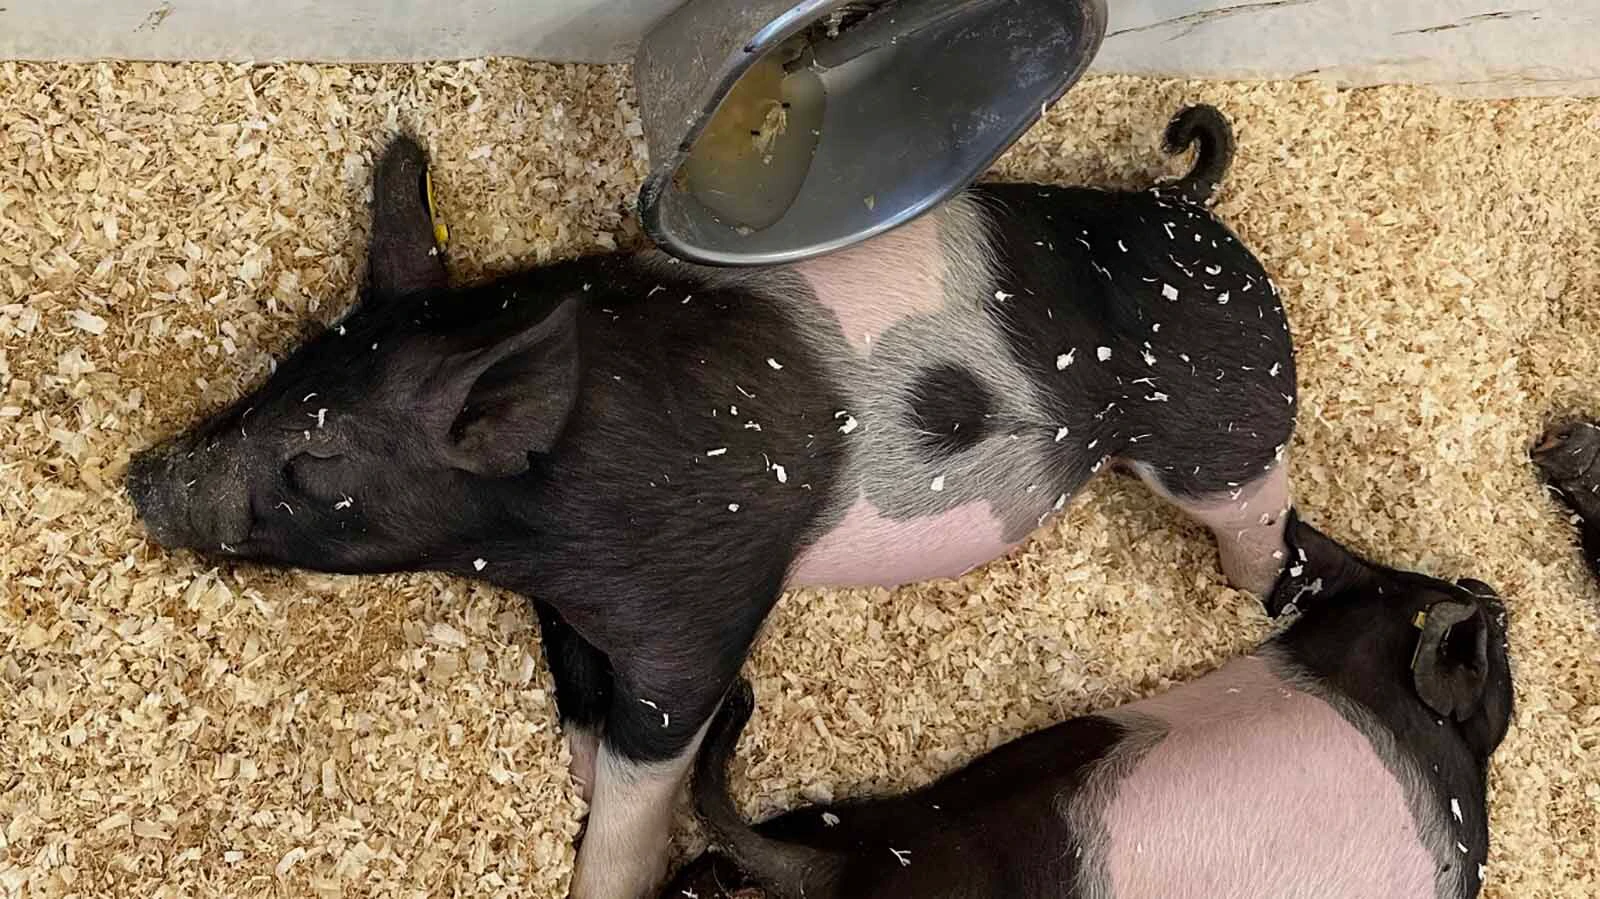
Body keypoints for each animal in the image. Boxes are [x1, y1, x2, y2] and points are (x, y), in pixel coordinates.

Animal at [125, 104, 1298, 898]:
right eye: (285, 369)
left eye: (317, 463)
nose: (142, 477)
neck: (547, 536)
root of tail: (1188, 204)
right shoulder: (571, 611)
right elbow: (581, 697)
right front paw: (581, 763)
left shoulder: (702, 603)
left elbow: (654, 753)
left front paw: (605, 855)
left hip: (1221, 427)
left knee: (1256, 499)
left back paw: (1254, 596)